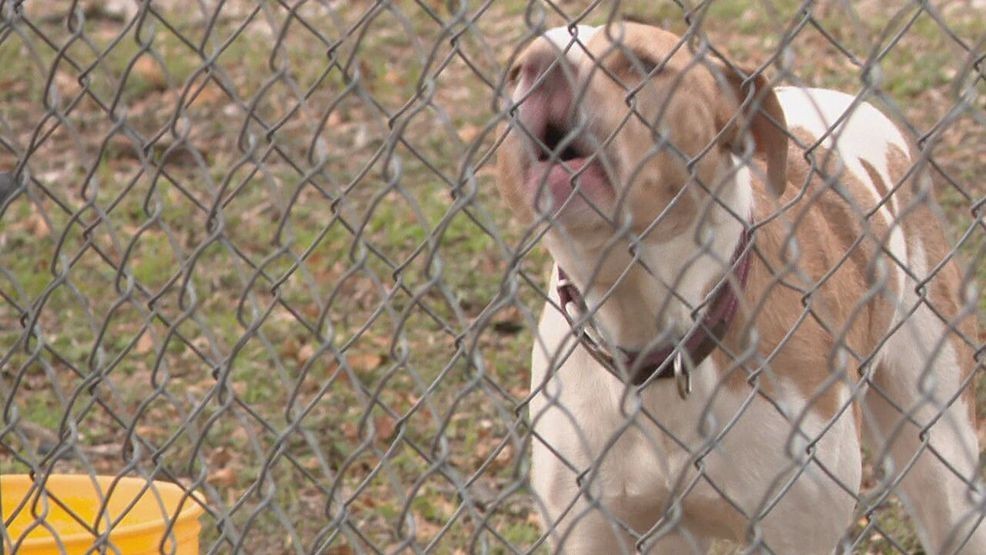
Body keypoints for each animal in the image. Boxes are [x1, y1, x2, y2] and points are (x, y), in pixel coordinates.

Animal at [496, 22, 980, 555]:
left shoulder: (797, 529)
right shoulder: (596, 527)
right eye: (515, 71)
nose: (541, 67)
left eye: (640, 63)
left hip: (943, 452)